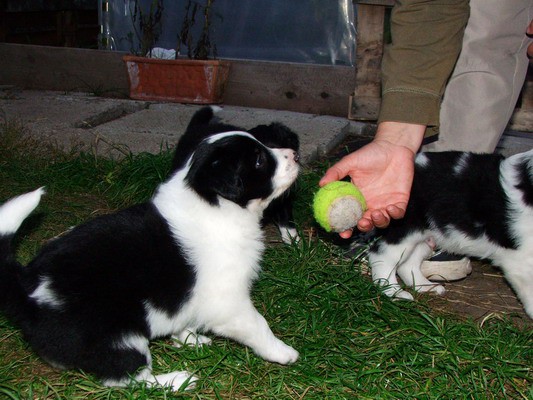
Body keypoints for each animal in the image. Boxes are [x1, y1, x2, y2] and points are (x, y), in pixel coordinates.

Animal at [0, 106, 300, 390]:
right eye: (259, 160)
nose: (295, 155)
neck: (215, 205)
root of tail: (29, 289)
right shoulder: (230, 302)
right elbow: (258, 325)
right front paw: (284, 352)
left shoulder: (184, 299)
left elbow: (181, 317)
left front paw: (189, 338)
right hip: (120, 338)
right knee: (125, 379)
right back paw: (178, 381)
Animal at [368, 150, 532, 318]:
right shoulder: (520, 260)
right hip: (405, 230)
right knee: (381, 256)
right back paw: (394, 292)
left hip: (426, 236)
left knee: (407, 263)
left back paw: (426, 287)